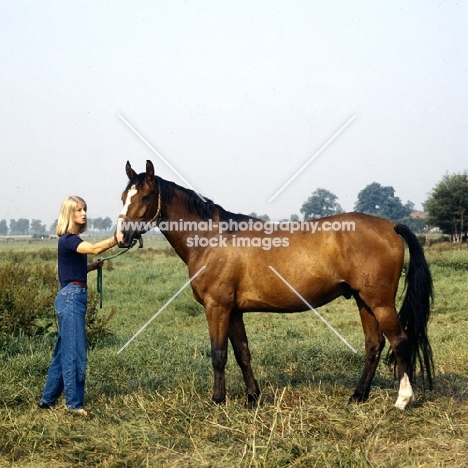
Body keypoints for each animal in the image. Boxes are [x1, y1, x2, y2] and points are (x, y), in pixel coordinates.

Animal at [115, 161, 434, 410]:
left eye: (145, 196)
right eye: (123, 196)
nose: (121, 236)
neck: (211, 239)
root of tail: (391, 226)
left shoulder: (217, 307)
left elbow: (218, 355)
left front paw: (217, 401)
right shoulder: (233, 311)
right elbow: (242, 353)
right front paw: (252, 398)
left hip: (380, 302)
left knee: (400, 341)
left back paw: (402, 399)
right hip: (363, 300)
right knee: (373, 344)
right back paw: (358, 396)